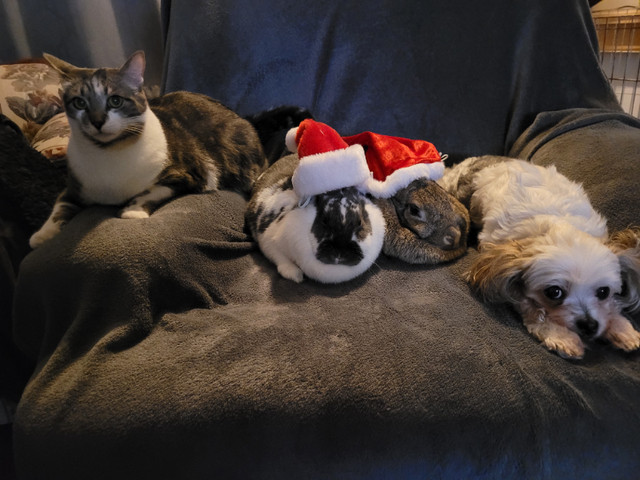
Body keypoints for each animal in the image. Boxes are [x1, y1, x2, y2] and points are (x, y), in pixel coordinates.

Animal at [29, 51, 264, 249]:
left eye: (115, 100)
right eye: (79, 103)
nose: (97, 121)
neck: (109, 152)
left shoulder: (190, 174)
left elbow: (151, 191)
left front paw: (132, 211)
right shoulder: (74, 186)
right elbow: (59, 205)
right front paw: (42, 234)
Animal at [245, 154, 384, 284]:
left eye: (360, 222)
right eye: (324, 221)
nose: (339, 254)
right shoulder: (268, 240)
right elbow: (279, 257)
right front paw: (295, 275)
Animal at [440, 156, 640, 358]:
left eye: (603, 291)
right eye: (554, 292)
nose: (589, 325)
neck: (557, 222)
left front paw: (620, 327)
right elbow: (532, 309)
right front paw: (561, 336)